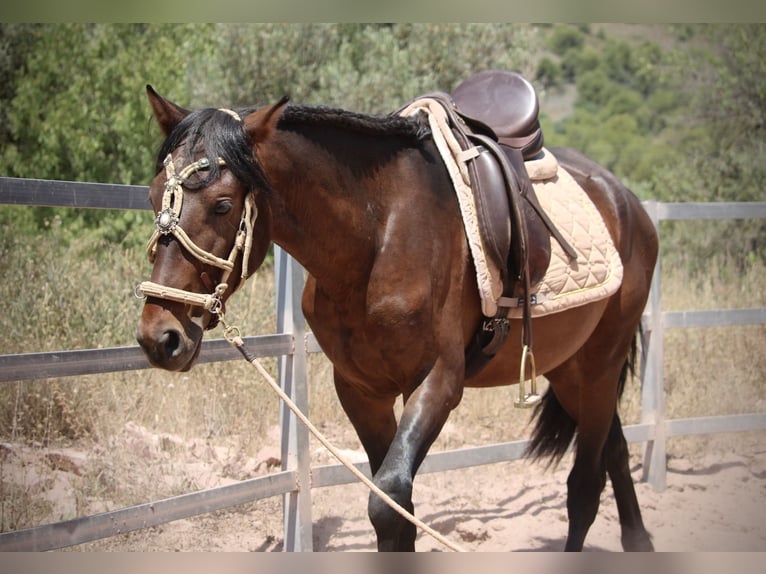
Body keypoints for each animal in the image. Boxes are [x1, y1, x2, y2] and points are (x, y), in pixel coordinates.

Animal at [135, 84, 658, 552]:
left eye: (223, 205)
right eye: (154, 195)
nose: (160, 336)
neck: (377, 236)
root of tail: (626, 200)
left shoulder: (437, 383)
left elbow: (388, 504)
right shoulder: (361, 390)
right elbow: (398, 510)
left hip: (601, 362)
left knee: (585, 485)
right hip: (570, 369)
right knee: (613, 452)